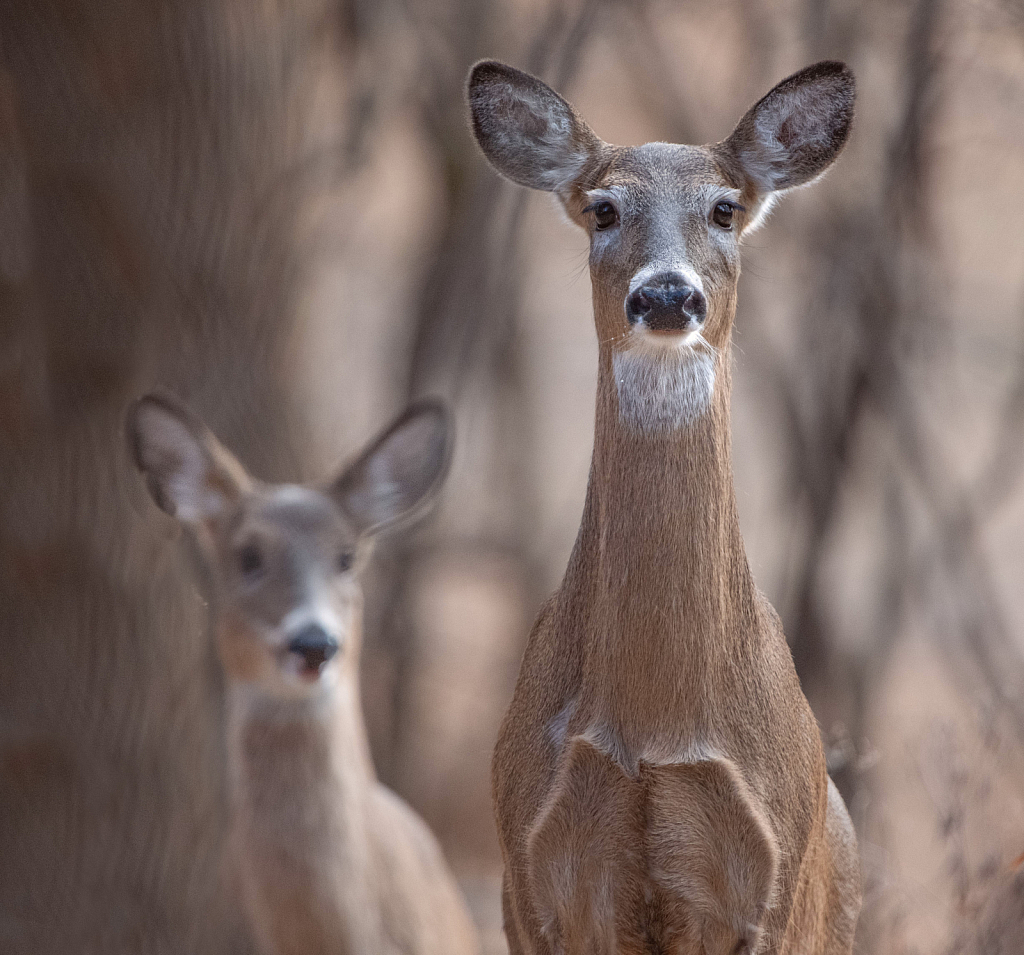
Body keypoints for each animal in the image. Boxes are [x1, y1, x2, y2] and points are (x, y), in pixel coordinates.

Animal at [471, 61, 864, 953]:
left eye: (723, 208)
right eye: (603, 208)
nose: (665, 296)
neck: (656, 718)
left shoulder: (771, 891)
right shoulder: (529, 881)